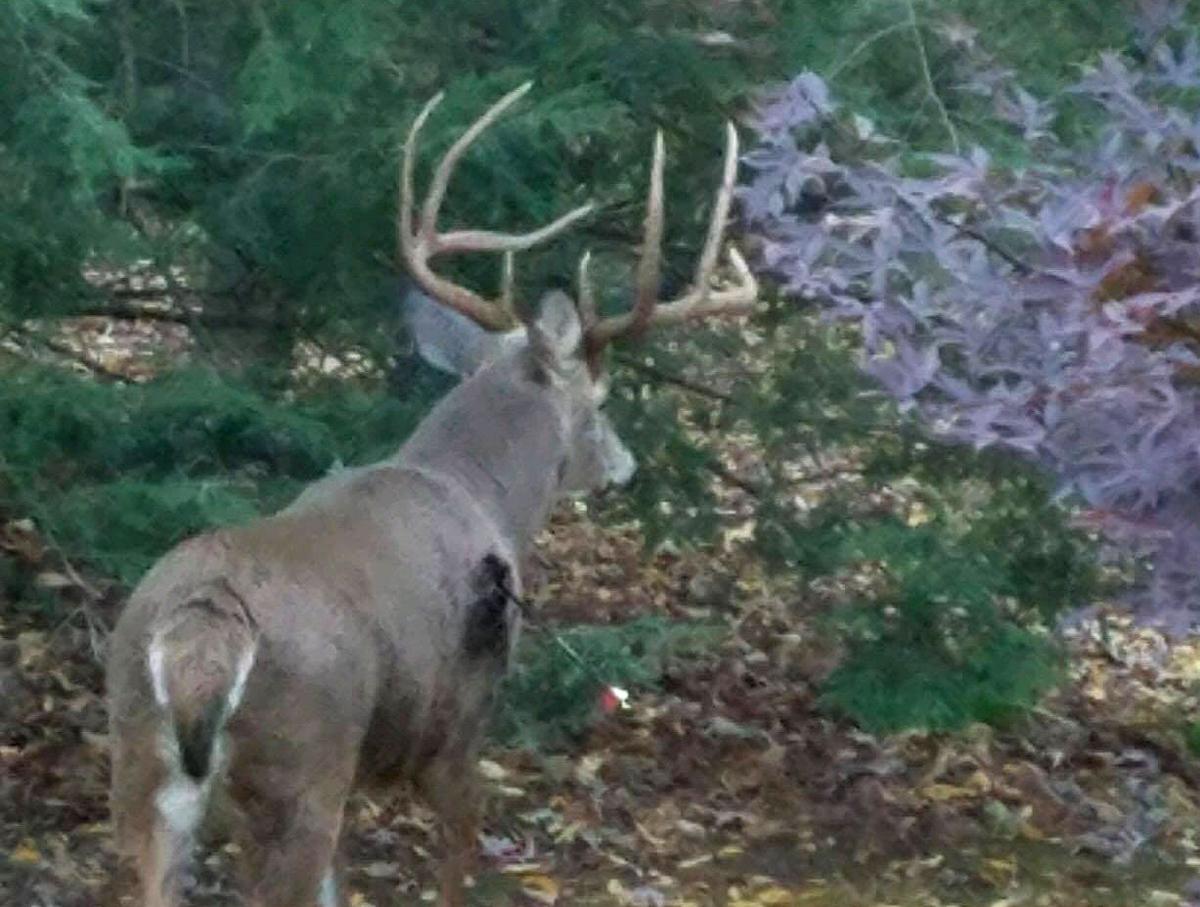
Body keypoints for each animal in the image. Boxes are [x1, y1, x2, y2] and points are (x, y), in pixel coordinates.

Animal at [105, 82, 757, 907]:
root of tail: (201, 629)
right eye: (602, 401)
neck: (476, 489)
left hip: (139, 759)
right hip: (301, 766)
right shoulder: (460, 728)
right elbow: (457, 862)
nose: (626, 465)